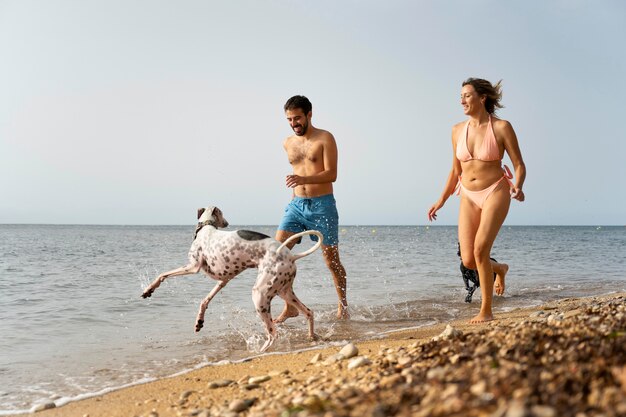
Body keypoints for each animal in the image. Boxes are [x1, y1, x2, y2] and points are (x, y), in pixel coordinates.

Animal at [141, 205, 322, 352]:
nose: (227, 223)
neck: (206, 229)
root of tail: (292, 256)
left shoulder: (192, 267)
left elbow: (163, 274)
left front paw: (148, 289)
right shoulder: (223, 280)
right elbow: (204, 300)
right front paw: (199, 321)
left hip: (260, 294)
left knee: (273, 334)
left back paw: (259, 352)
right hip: (284, 291)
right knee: (309, 312)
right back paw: (312, 337)